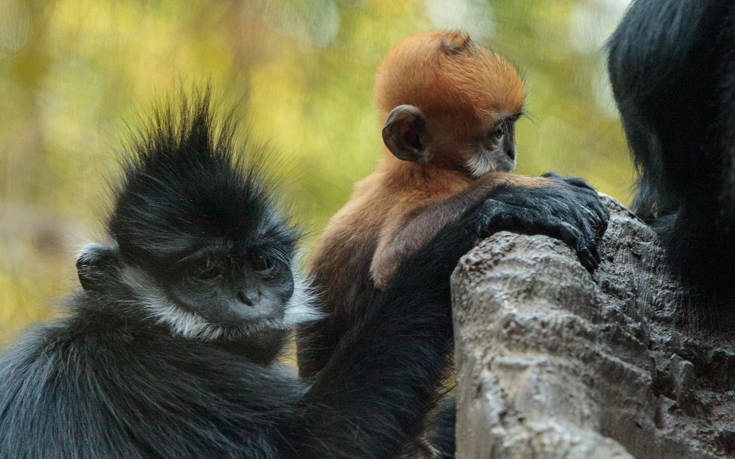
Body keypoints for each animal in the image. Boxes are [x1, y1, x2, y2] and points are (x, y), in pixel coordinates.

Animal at [0, 91, 608, 458]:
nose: (250, 299)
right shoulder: (160, 379)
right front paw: (489, 214)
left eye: (262, 264)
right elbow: (331, 438)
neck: (128, 327)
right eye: (205, 272)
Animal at [296, 30, 608, 380]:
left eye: (511, 129)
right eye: (498, 132)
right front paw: (529, 192)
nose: (512, 153)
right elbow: (390, 263)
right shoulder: (424, 187)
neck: (426, 168)